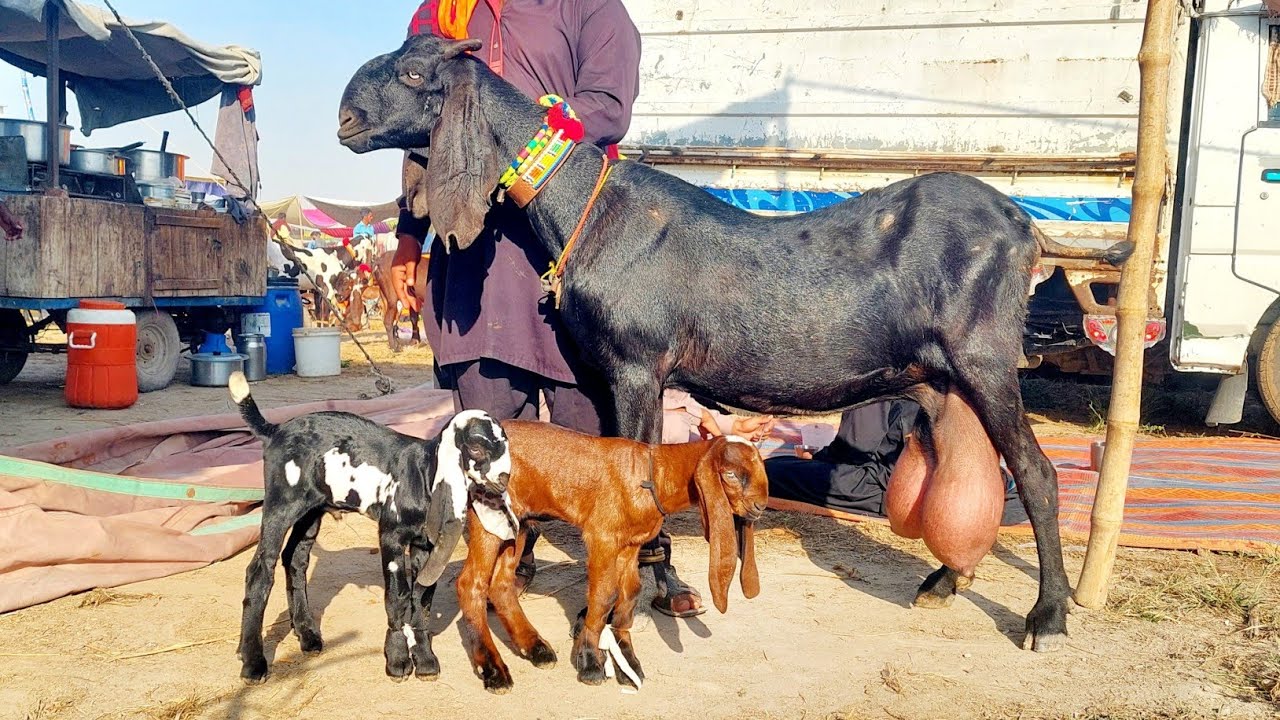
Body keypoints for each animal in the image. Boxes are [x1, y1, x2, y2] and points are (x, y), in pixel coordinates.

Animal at [227, 371, 516, 684]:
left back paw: (307, 634)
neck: (422, 474)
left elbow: (422, 596)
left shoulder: (425, 545)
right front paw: (398, 660)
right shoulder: (391, 536)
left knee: (295, 558)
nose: (504, 478)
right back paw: (252, 661)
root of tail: (276, 429)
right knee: (259, 570)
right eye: (475, 447)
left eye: (505, 446)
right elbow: (398, 596)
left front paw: (425, 659)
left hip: (311, 511)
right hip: (281, 505)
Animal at [335, 34, 1133, 651]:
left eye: (415, 74)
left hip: (986, 360)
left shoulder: (637, 365)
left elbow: (640, 471)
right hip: (944, 380)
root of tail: (1027, 229)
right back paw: (944, 580)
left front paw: (653, 591)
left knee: (1037, 473)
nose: (344, 118)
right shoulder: (600, 372)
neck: (587, 206)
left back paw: (1046, 616)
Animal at [457, 421, 767, 693]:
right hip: (486, 518)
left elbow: (629, 593)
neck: (654, 473)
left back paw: (535, 647)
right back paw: (494, 670)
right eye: (731, 475)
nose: (760, 506)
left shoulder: (630, 546)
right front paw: (591, 662)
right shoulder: (602, 538)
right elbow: (604, 595)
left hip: (517, 525)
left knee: (500, 584)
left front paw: (626, 660)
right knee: (470, 583)